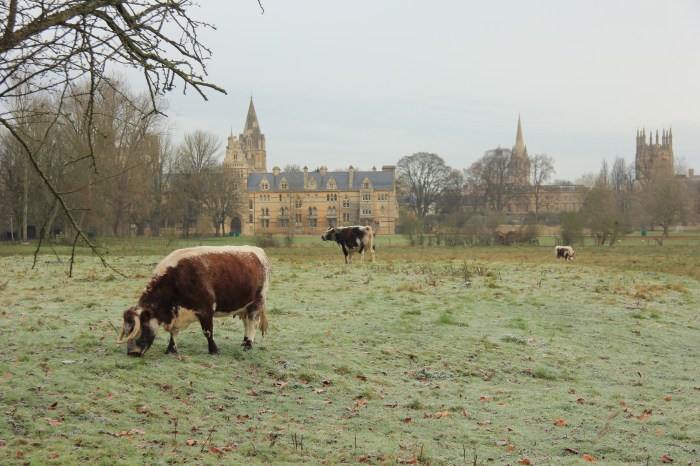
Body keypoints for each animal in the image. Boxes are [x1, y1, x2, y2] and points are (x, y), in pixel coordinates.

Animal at [117, 246, 270, 357]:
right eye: (126, 330)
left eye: (136, 329)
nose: (132, 353)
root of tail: (257, 250)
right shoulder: (176, 314)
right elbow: (173, 333)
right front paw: (171, 350)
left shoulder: (206, 310)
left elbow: (208, 332)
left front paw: (213, 350)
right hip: (244, 306)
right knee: (246, 323)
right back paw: (244, 341)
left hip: (257, 301)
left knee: (252, 322)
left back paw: (248, 345)